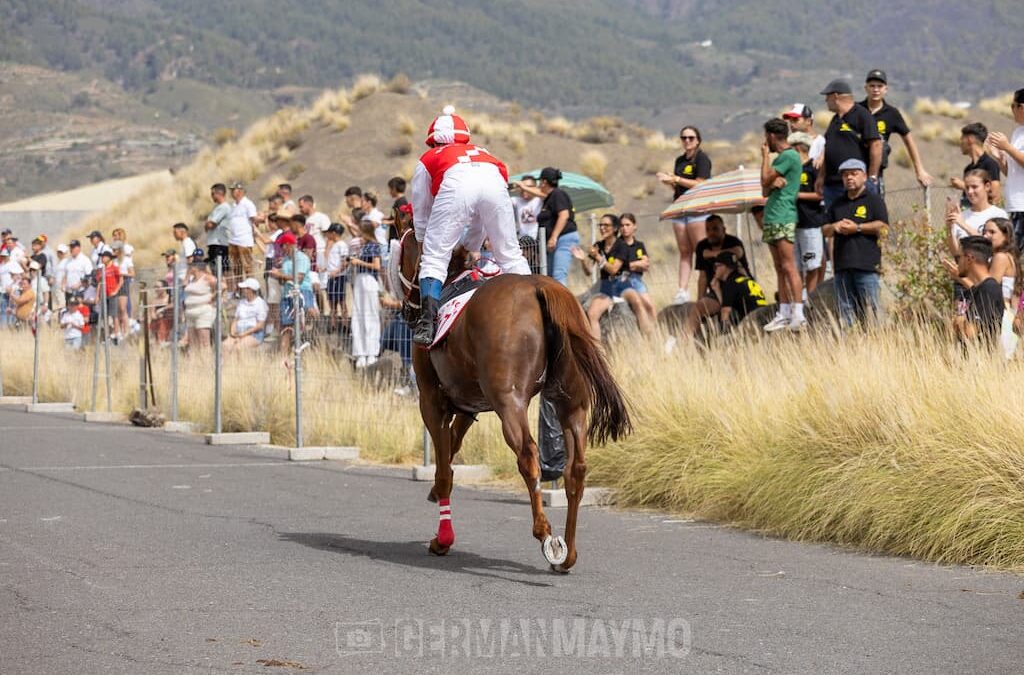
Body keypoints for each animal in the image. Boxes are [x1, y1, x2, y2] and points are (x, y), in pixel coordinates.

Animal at [399, 233, 630, 577]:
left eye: (400, 253)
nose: (406, 309)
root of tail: (540, 287)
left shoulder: (431, 400)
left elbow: (442, 466)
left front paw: (442, 538)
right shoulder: (469, 403)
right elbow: (451, 447)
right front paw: (437, 494)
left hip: (510, 402)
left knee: (528, 455)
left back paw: (546, 535)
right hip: (571, 404)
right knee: (575, 469)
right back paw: (567, 552)